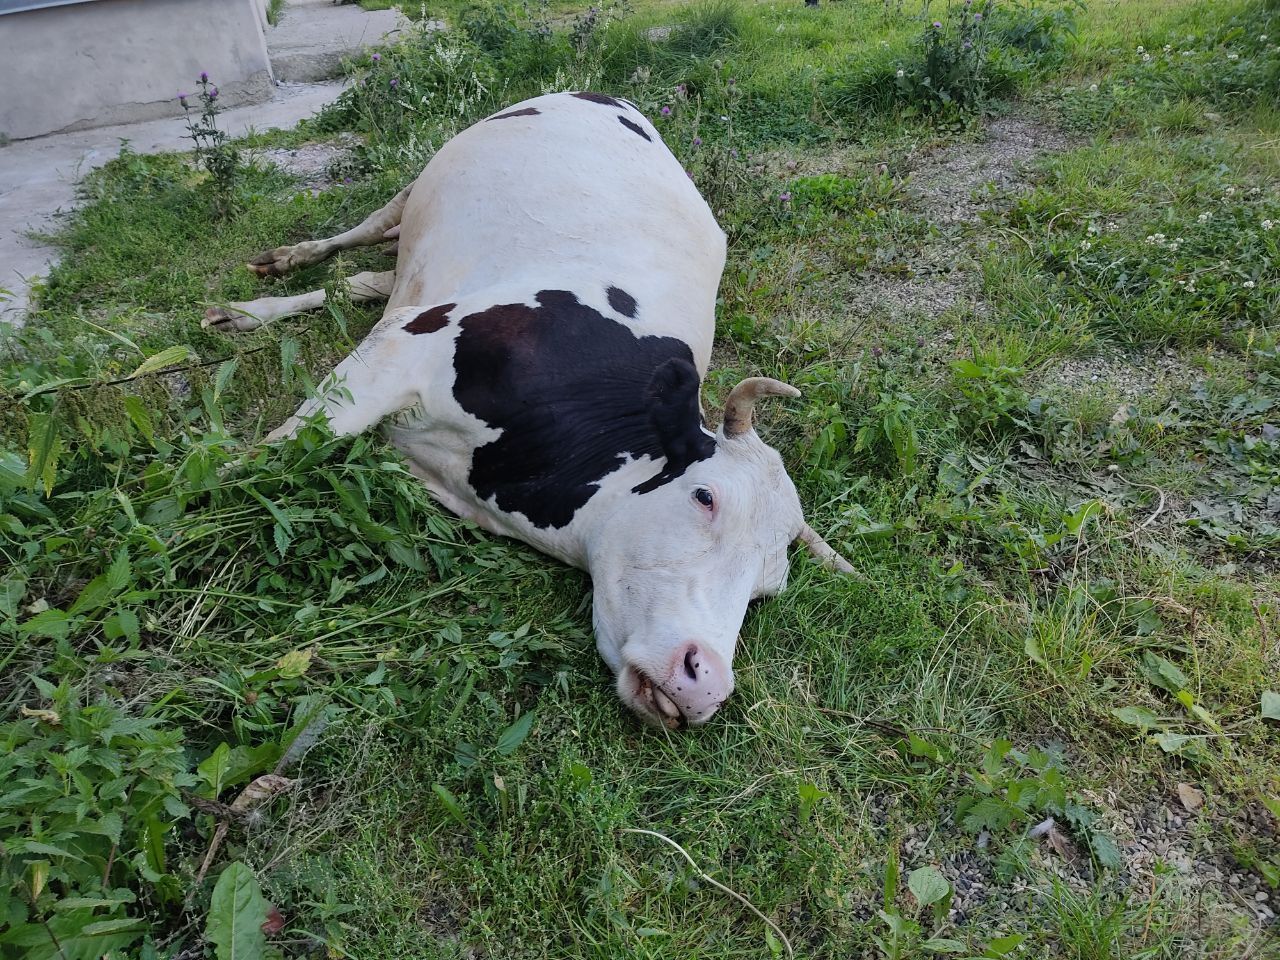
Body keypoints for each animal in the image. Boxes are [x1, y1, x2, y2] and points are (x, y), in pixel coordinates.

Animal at [204, 94, 855, 732]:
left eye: (767, 588)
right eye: (705, 497)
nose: (707, 683)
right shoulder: (405, 344)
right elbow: (267, 458)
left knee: (368, 279)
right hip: (424, 181)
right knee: (356, 239)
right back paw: (266, 283)